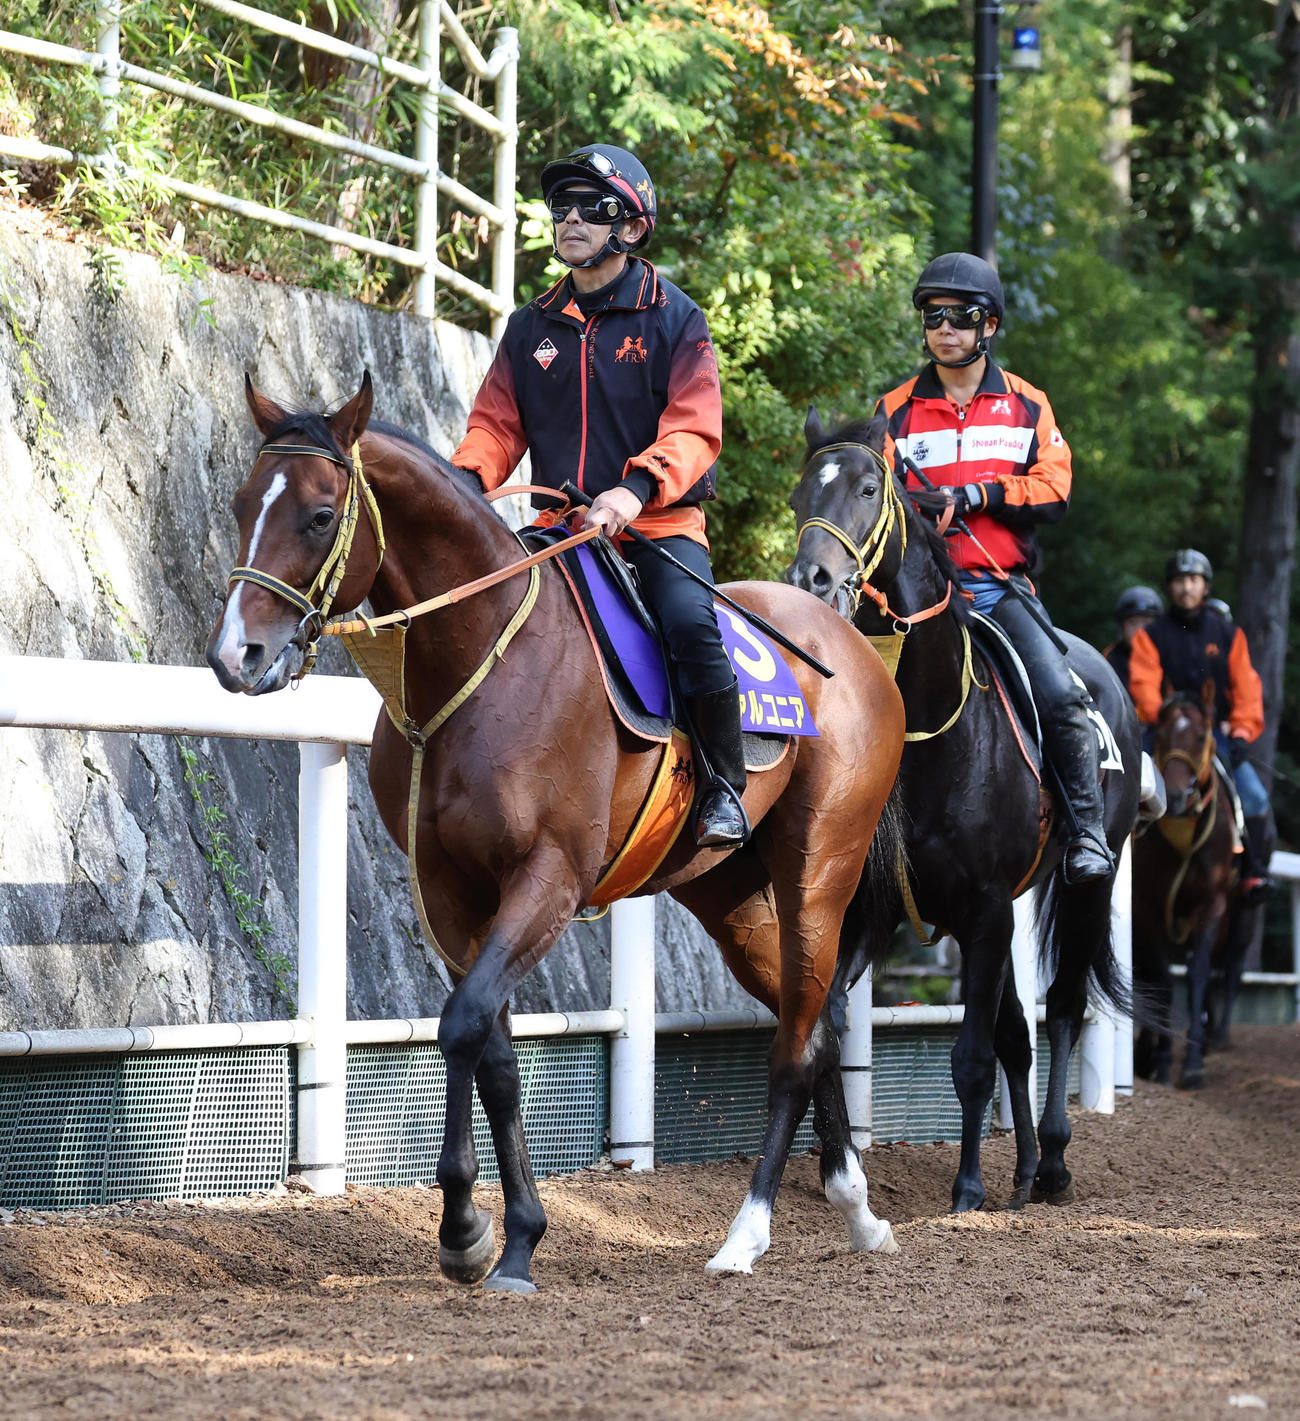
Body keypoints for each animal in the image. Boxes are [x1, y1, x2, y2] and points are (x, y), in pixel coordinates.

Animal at [206, 374, 906, 1289]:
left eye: (321, 515)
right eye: (242, 501)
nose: (237, 657)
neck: (486, 658)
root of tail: (856, 649)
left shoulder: (549, 880)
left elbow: (463, 1024)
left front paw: (469, 1226)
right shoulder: (452, 893)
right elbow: (493, 1052)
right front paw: (505, 1235)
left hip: (817, 875)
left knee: (794, 1045)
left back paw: (746, 1233)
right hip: (732, 901)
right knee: (816, 1023)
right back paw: (856, 1208)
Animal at [785, 408, 1141, 1212]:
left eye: (866, 487)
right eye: (799, 493)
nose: (809, 579)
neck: (931, 733)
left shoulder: (983, 911)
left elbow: (973, 1054)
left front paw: (967, 1188)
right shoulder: (875, 912)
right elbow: (829, 1031)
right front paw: (837, 1168)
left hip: (1084, 885)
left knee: (1061, 1007)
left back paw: (1052, 1161)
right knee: (1018, 1031)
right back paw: (1026, 1167)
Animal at [1132, 691, 1243, 1088]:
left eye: (1200, 736)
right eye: (1163, 735)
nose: (1178, 796)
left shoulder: (1212, 904)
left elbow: (1198, 974)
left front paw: (1193, 1062)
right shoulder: (1147, 907)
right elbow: (1163, 979)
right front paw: (1163, 1060)